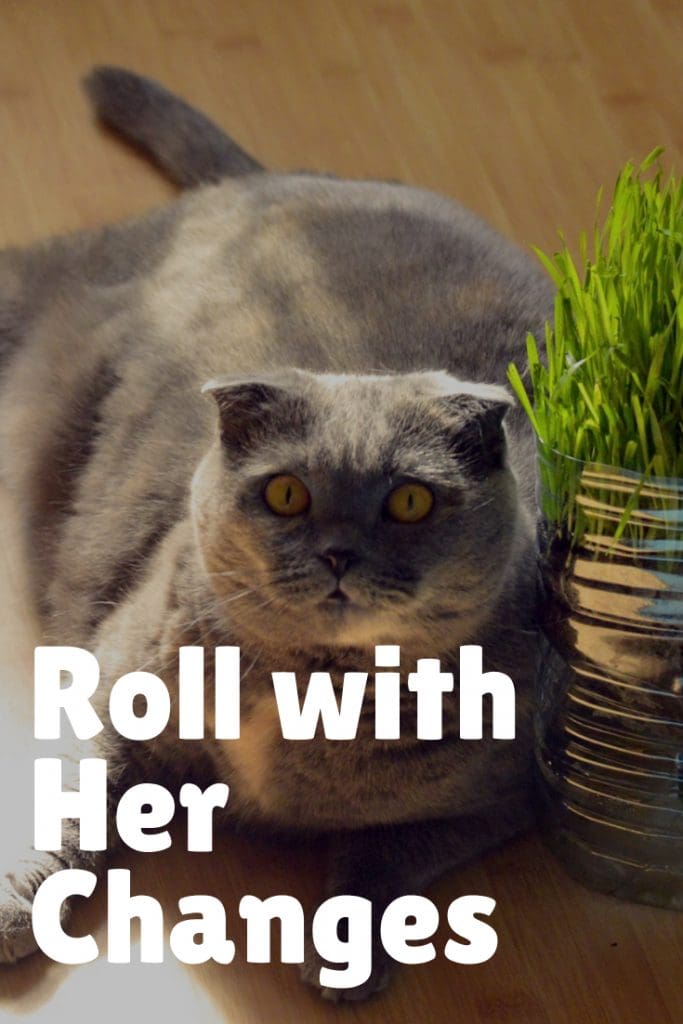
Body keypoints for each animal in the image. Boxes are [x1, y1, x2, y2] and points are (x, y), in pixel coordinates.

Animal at [0, 66, 557, 999]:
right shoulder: (108, 680)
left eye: (411, 502)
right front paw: (18, 904)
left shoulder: (499, 797)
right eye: (288, 493)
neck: (310, 695)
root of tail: (278, 178)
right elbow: (77, 800)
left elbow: (387, 858)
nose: (336, 552)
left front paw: (346, 954)